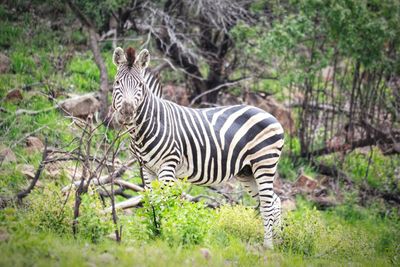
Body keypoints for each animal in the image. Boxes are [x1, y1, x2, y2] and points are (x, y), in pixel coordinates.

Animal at [110, 47, 284, 250]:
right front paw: (155, 232)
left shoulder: (168, 165)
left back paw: (268, 246)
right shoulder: (147, 169)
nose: (127, 113)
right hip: (246, 171)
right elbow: (153, 201)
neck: (151, 124)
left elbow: (165, 201)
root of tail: (271, 116)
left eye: (140, 85)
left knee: (267, 204)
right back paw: (280, 243)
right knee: (274, 201)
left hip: (264, 163)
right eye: (117, 83)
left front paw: (165, 236)